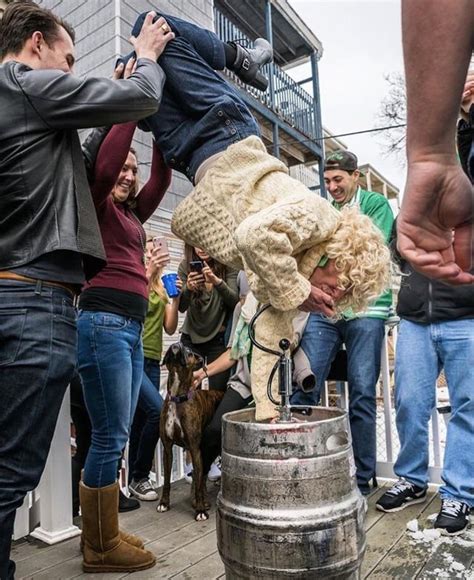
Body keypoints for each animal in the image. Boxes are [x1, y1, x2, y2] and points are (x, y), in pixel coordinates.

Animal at [157, 344, 224, 520]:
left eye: (188, 352)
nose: (175, 345)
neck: (177, 397)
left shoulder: (194, 449)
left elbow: (199, 482)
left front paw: (200, 510)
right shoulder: (167, 449)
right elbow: (166, 481)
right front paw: (164, 503)